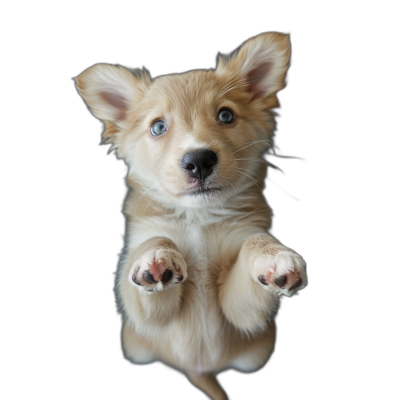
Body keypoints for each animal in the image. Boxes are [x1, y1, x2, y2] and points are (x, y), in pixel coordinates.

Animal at [75, 32, 306, 400]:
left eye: (225, 116)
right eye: (158, 127)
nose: (199, 161)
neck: (198, 217)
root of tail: (196, 369)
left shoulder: (240, 311)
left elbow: (254, 243)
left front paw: (274, 257)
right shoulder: (144, 307)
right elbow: (154, 243)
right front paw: (156, 256)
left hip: (254, 357)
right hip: (135, 347)